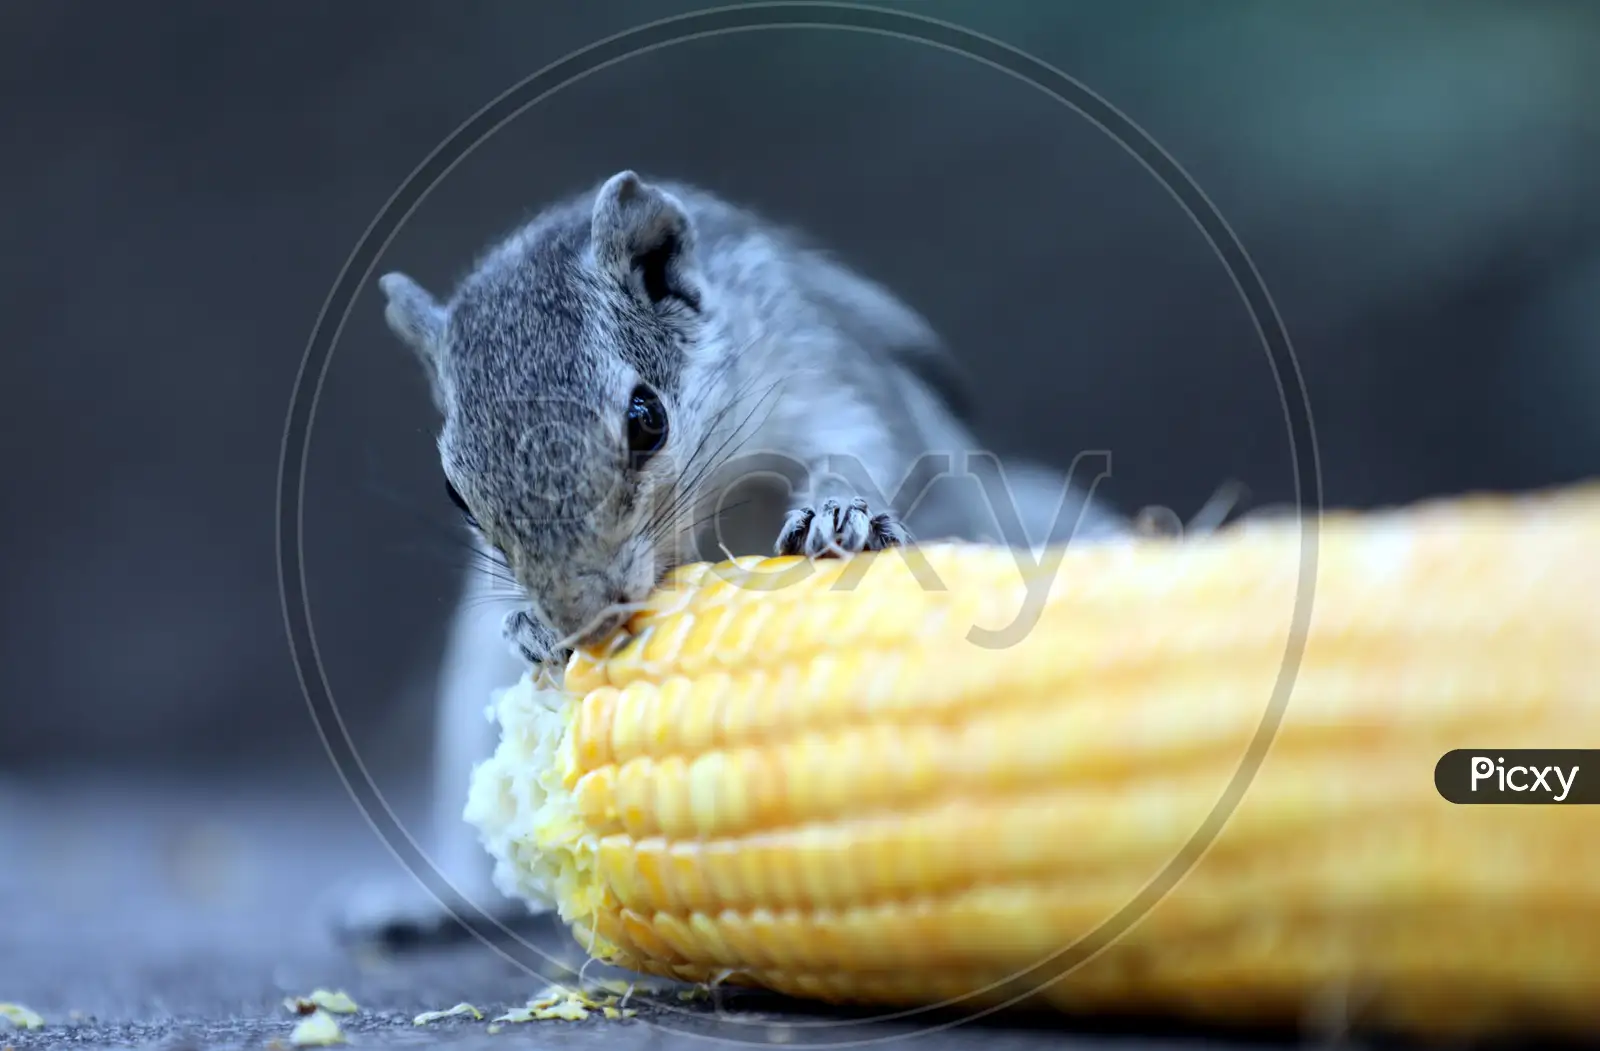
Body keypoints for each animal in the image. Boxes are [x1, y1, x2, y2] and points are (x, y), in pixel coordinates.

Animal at [334, 170, 1126, 940]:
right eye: (453, 488)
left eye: (646, 418)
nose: (582, 618)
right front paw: (527, 626)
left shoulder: (818, 361)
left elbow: (864, 443)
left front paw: (839, 511)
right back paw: (434, 898)